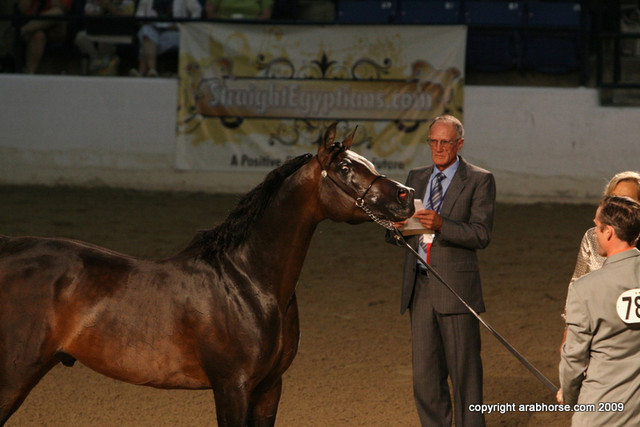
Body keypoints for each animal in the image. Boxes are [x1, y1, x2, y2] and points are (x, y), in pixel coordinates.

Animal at [0, 122, 415, 426]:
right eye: (345, 168)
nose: (406, 195)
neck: (249, 283)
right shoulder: (232, 387)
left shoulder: (270, 388)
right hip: (13, 375)